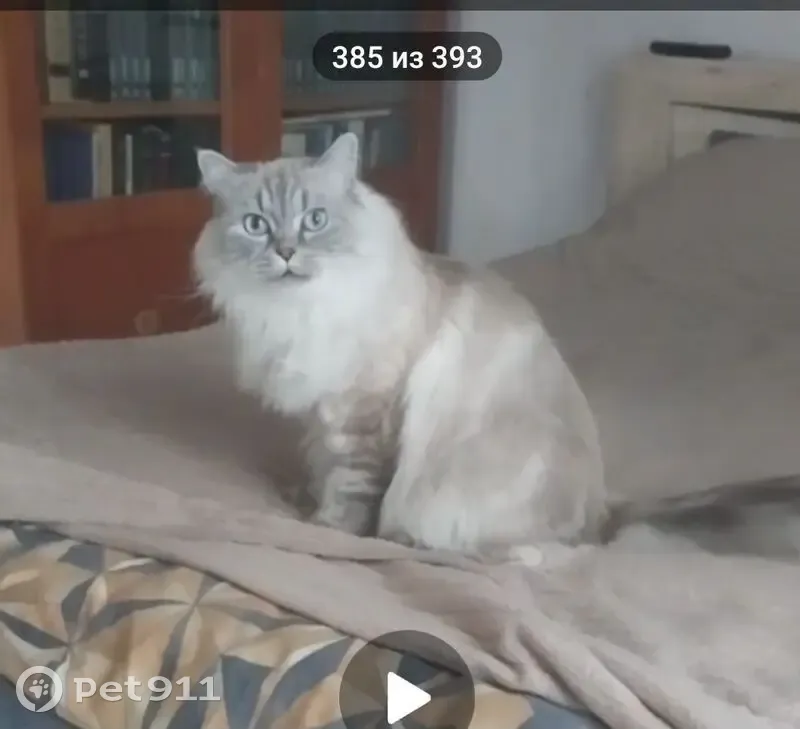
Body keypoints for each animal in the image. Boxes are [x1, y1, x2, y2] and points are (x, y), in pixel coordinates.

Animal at [193, 132, 800, 563]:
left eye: (315, 220)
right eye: (256, 225)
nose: (286, 252)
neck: (298, 313)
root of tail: (605, 507)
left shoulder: (363, 412)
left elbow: (352, 490)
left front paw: (328, 531)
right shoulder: (323, 411)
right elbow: (323, 468)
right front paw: (302, 500)